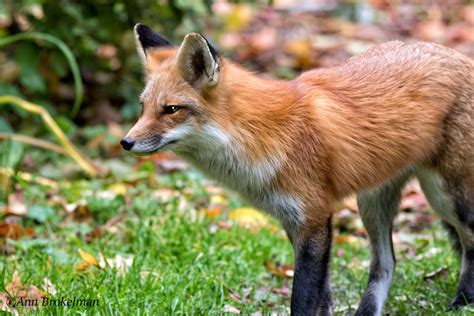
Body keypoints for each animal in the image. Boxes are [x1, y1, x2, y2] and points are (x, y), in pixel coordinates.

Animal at [123, 23, 474, 314]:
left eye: (171, 110)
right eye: (143, 107)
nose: (126, 142)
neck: (261, 135)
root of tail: (459, 56)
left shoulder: (314, 218)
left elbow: (304, 298)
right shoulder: (293, 221)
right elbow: (323, 297)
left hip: (445, 198)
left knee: (468, 243)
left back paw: (463, 301)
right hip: (372, 203)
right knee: (386, 264)